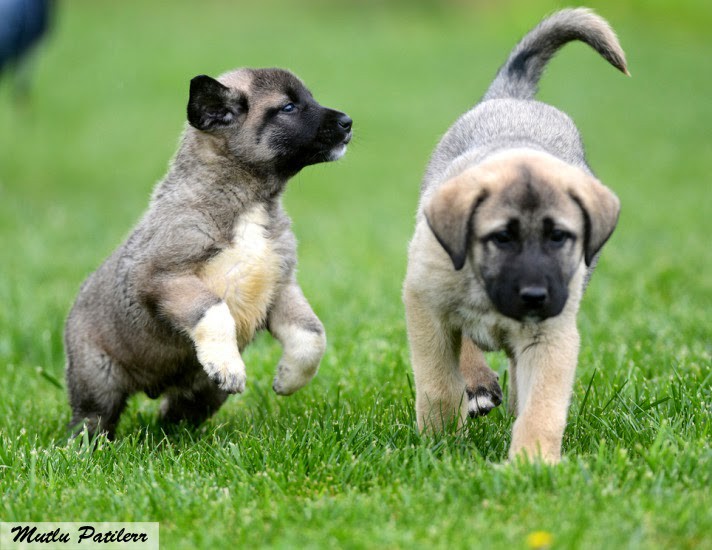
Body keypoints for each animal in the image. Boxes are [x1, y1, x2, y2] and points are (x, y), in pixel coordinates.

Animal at [404, 9, 624, 466]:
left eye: (560, 237)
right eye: (501, 237)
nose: (536, 296)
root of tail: (514, 98)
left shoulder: (552, 336)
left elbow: (542, 406)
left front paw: (533, 463)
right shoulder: (424, 302)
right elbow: (438, 383)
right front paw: (440, 441)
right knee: (465, 345)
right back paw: (477, 386)